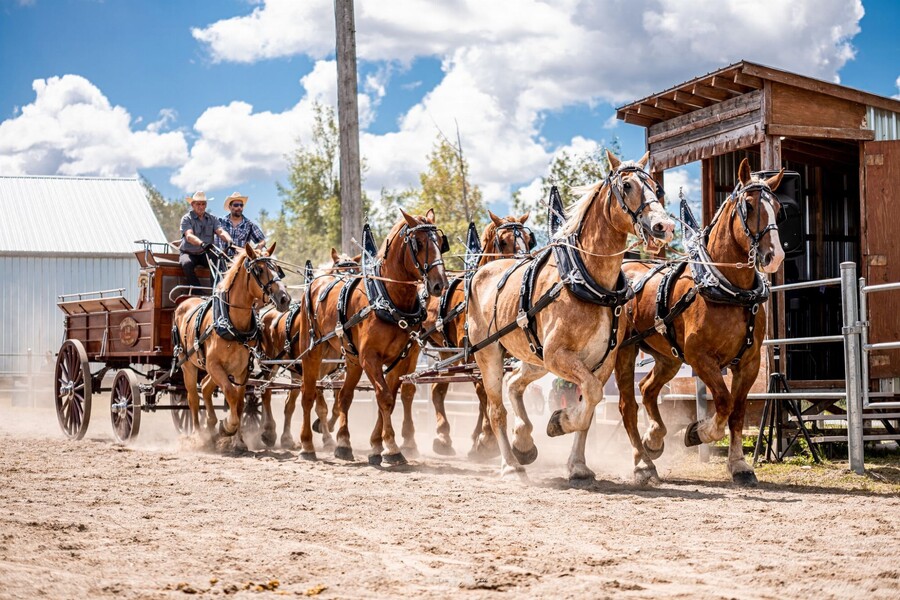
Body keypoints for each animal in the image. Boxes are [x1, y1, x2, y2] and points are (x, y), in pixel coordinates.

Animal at [256, 246, 358, 448]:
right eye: (339, 270)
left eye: (356, 270)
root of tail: (266, 313)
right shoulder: (315, 370)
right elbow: (322, 407)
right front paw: (327, 439)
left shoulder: (337, 372)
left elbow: (337, 405)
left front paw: (324, 427)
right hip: (270, 364)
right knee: (266, 393)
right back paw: (268, 432)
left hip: (296, 372)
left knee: (289, 404)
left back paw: (287, 438)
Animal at [296, 210, 450, 464]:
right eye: (418, 243)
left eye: (440, 242)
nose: (440, 284)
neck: (389, 298)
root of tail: (315, 282)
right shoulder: (370, 358)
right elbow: (384, 398)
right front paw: (393, 449)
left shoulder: (400, 359)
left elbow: (387, 399)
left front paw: (377, 446)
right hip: (313, 352)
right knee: (308, 394)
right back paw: (307, 445)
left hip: (351, 359)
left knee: (344, 397)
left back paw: (343, 443)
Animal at [396, 211, 536, 460]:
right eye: (503, 241)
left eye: (529, 241)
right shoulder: (476, 352)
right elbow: (484, 393)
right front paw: (486, 440)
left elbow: (487, 393)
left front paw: (480, 439)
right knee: (412, 388)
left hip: (445, 352)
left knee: (437, 390)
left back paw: (443, 437)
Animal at [468, 152, 672, 480]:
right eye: (627, 185)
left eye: (657, 187)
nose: (663, 226)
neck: (589, 282)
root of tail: (481, 272)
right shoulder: (559, 355)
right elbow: (591, 394)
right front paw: (560, 421)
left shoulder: (601, 361)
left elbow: (591, 401)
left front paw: (577, 463)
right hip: (489, 354)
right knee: (496, 409)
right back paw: (511, 465)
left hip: (534, 357)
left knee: (514, 382)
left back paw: (523, 441)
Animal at [616, 159, 784, 488]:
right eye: (748, 205)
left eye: (779, 208)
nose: (775, 256)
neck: (729, 289)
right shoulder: (701, 358)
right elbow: (723, 402)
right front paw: (699, 431)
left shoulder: (750, 361)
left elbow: (737, 411)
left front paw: (739, 465)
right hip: (624, 352)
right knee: (628, 405)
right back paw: (642, 464)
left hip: (667, 356)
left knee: (648, 389)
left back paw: (654, 440)